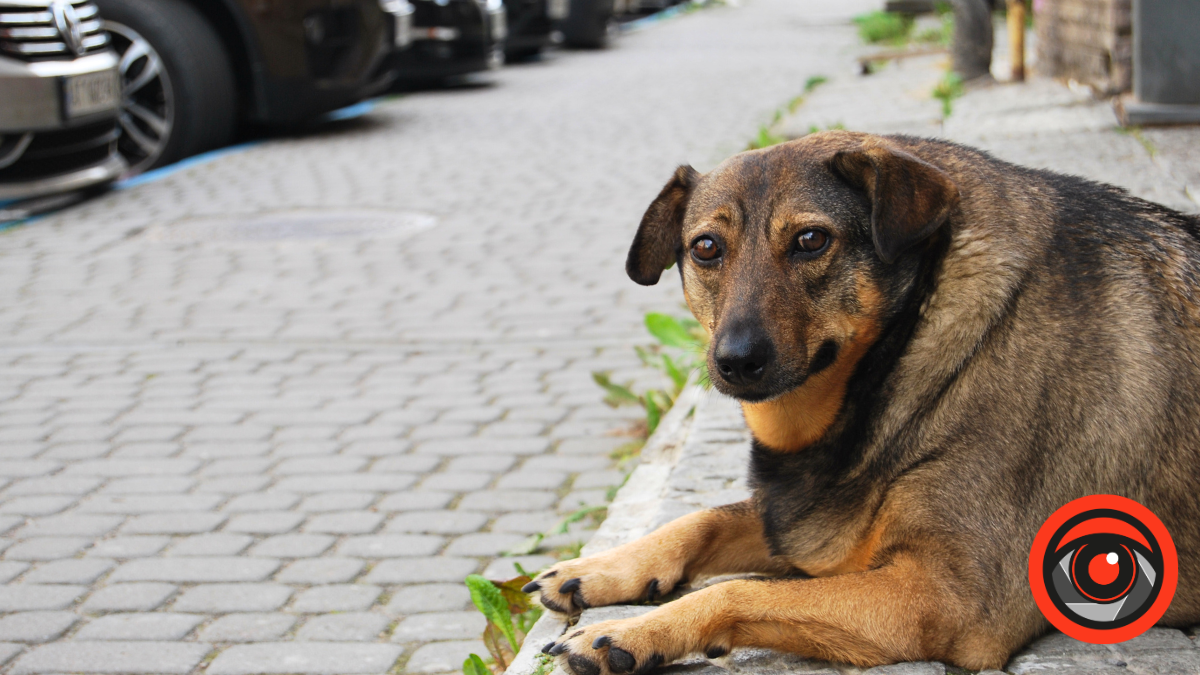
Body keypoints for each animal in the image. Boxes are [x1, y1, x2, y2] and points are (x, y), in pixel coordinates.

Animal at [523, 130, 1200, 667]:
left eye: (810, 240)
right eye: (706, 248)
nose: (735, 361)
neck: (910, 346)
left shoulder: (945, 599)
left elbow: (739, 589)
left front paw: (632, 633)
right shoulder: (814, 522)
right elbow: (703, 518)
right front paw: (601, 569)